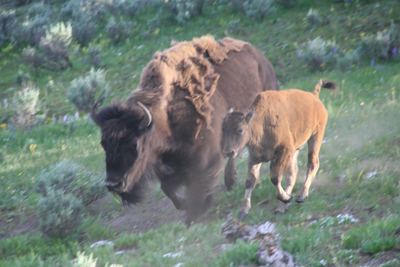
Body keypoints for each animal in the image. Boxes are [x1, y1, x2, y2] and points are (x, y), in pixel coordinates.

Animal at [90, 36, 278, 226]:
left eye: (133, 144)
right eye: (103, 144)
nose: (113, 184)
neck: (165, 118)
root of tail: (260, 57)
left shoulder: (205, 158)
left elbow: (199, 185)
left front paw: (195, 214)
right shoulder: (170, 164)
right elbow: (167, 188)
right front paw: (185, 205)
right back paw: (231, 182)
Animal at [223, 78, 336, 219]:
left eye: (240, 129)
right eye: (223, 129)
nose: (228, 152)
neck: (260, 123)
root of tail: (315, 98)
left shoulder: (284, 152)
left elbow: (275, 177)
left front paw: (286, 198)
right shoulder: (255, 158)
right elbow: (250, 181)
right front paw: (243, 210)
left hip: (315, 136)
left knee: (312, 164)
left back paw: (301, 196)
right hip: (296, 148)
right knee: (292, 173)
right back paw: (282, 207)